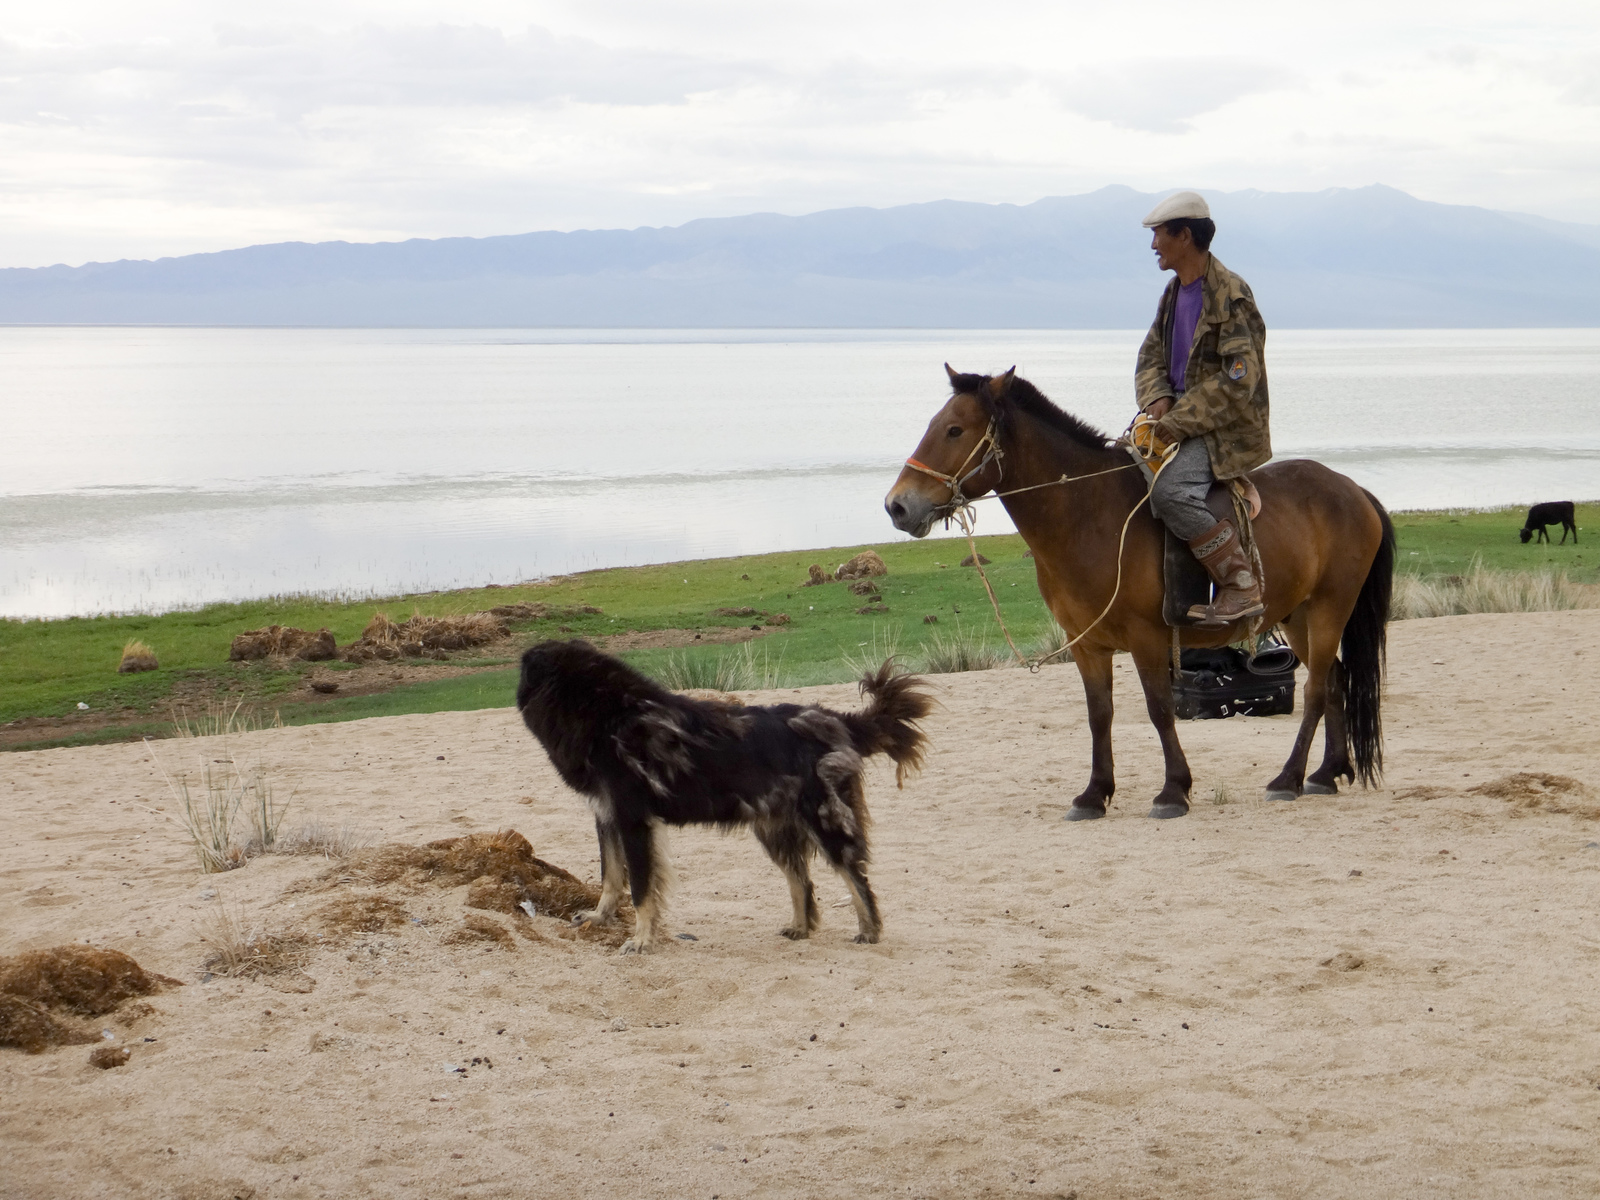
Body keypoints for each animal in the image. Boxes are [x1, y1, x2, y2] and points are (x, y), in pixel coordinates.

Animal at [518, 643, 934, 953]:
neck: (605, 713)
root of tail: (836, 719)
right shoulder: (607, 817)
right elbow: (610, 878)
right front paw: (599, 918)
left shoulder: (634, 821)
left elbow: (639, 887)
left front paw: (641, 940)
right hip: (774, 831)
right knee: (802, 882)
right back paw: (801, 928)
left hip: (825, 821)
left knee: (856, 878)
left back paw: (869, 930)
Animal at [883, 366, 1395, 819]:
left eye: (954, 430)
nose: (897, 506)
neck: (1090, 515)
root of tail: (1353, 490)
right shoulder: (1087, 645)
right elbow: (1100, 715)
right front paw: (1094, 794)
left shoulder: (1147, 639)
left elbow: (1159, 709)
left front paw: (1173, 791)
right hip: (1299, 616)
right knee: (1335, 680)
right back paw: (1327, 773)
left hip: (1330, 609)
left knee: (1314, 690)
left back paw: (1289, 778)